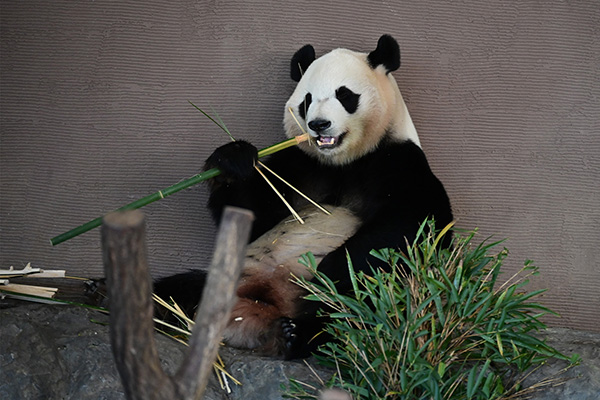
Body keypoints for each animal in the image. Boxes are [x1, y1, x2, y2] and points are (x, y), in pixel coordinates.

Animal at [152, 35, 452, 360]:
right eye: (307, 100)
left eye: (345, 95)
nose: (319, 124)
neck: (341, 162)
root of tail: (255, 317)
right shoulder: (299, 164)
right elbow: (254, 216)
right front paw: (234, 160)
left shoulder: (397, 162)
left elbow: (412, 227)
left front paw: (331, 271)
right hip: (231, 278)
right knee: (176, 289)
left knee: (349, 319)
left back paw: (296, 334)